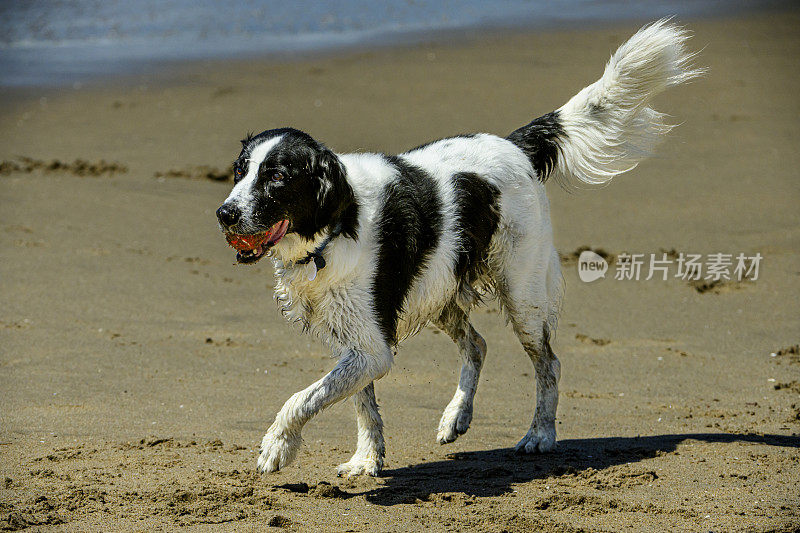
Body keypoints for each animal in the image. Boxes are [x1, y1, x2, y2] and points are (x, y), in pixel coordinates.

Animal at [216, 20, 696, 476]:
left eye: (277, 177)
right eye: (239, 171)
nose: (224, 214)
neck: (333, 230)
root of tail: (514, 145)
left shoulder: (371, 346)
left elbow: (303, 397)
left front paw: (277, 446)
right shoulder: (357, 342)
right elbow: (361, 403)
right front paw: (367, 460)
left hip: (520, 295)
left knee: (549, 363)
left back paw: (540, 435)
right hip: (440, 287)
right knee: (478, 344)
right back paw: (456, 416)